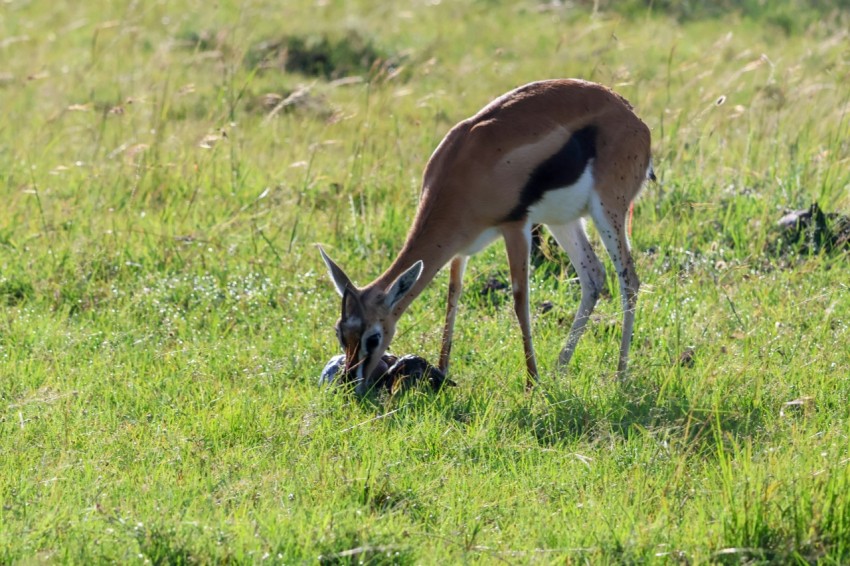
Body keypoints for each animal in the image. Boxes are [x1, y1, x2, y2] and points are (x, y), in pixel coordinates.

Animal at [320, 79, 654, 395]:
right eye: (340, 332)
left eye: (374, 337)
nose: (349, 382)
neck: (460, 172)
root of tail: (632, 115)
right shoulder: (461, 248)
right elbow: (453, 295)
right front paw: (441, 370)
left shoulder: (515, 226)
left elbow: (520, 300)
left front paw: (532, 383)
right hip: (563, 221)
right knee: (593, 277)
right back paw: (560, 369)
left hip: (607, 210)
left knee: (629, 279)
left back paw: (620, 375)